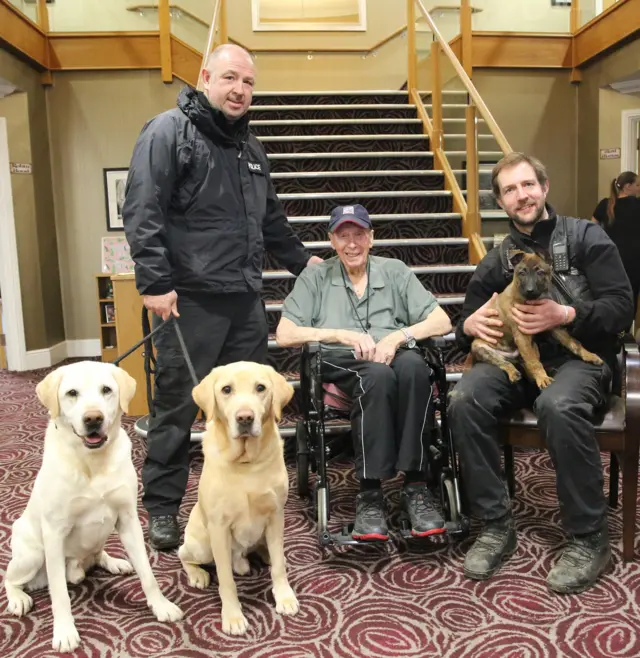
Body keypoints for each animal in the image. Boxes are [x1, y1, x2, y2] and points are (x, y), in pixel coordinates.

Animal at [468, 250, 604, 384]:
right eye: (522, 273)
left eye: (540, 272)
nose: (530, 290)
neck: (532, 301)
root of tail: (511, 356)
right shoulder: (522, 335)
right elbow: (534, 363)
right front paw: (543, 379)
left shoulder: (553, 325)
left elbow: (573, 342)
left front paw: (589, 355)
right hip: (481, 348)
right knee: (504, 363)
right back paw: (514, 373)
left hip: (531, 347)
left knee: (527, 363)